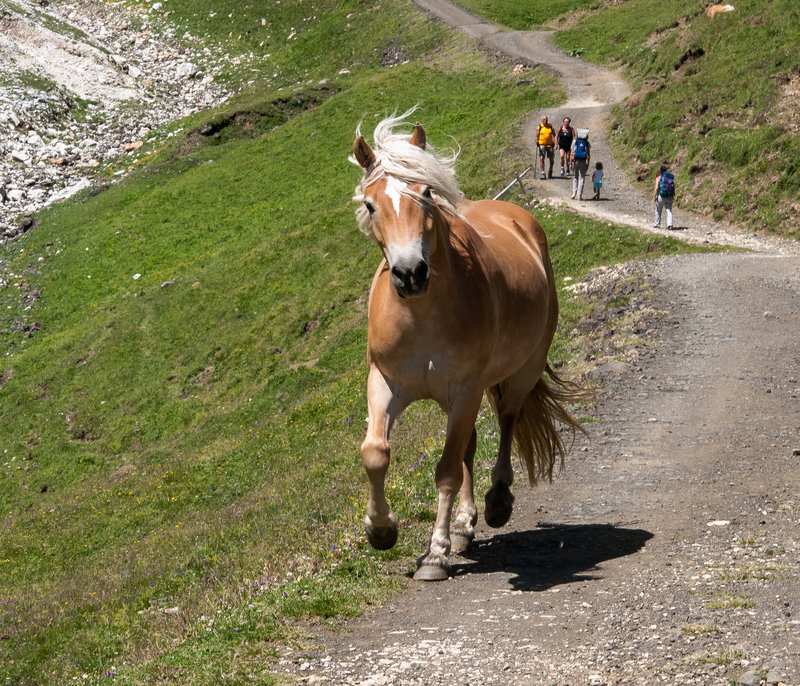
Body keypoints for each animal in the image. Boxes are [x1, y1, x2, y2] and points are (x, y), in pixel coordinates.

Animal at [346, 110, 584, 584]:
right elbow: (376, 453)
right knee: (469, 448)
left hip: (518, 373)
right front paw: (381, 530)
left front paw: (435, 555)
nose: (410, 273)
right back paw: (463, 526)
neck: (421, 315)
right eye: (371, 205)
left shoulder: (467, 388)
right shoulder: (385, 383)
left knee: (506, 421)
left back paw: (496, 503)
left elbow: (445, 471)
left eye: (426, 194)